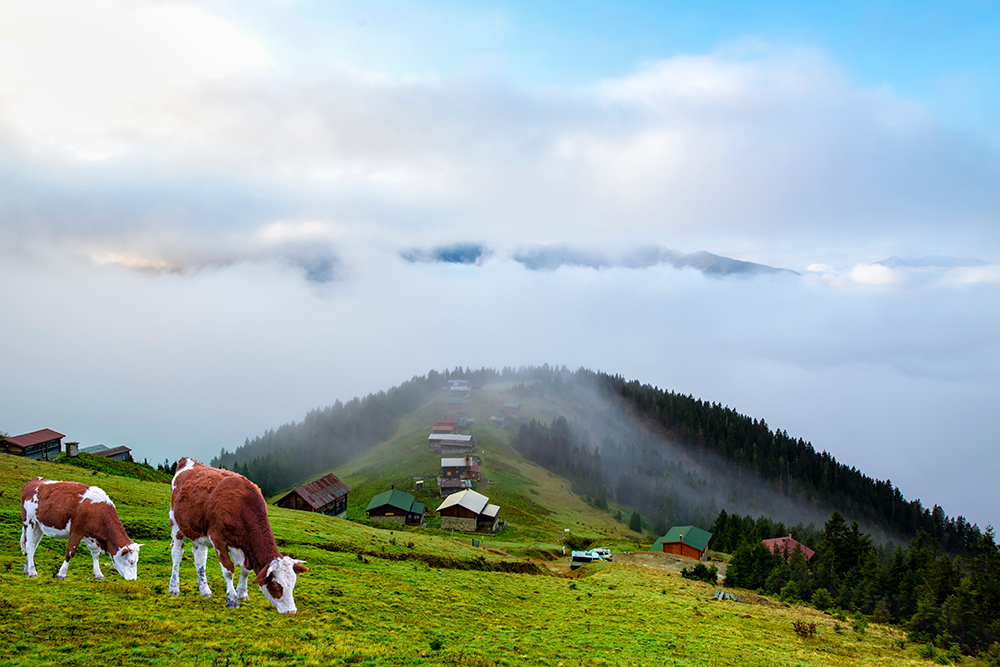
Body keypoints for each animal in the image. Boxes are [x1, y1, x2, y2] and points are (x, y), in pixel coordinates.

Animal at [168, 457, 307, 614]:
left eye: (293, 584)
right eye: (277, 586)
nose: (291, 611)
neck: (242, 506)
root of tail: (187, 460)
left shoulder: (246, 548)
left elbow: (246, 570)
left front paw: (242, 593)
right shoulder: (218, 540)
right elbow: (228, 570)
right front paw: (232, 599)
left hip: (200, 531)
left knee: (200, 558)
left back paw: (205, 590)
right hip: (176, 524)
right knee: (177, 554)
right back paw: (174, 588)